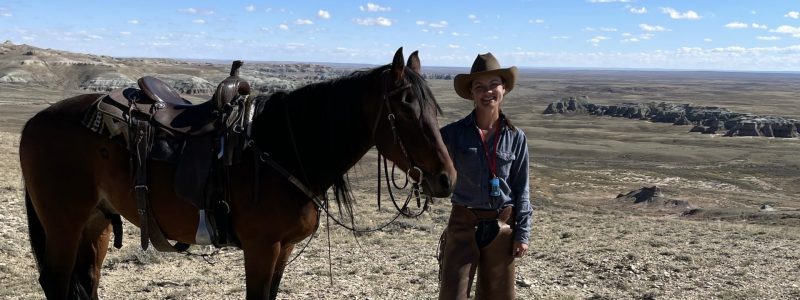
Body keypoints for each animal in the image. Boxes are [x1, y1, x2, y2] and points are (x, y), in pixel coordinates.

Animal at [18, 48, 454, 298]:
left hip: (96, 224)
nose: (446, 179)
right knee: (56, 283)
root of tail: (33, 122)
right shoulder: (262, 247)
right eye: (406, 109)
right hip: (63, 223)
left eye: (435, 109)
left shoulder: (284, 248)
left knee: (85, 283)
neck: (282, 148)